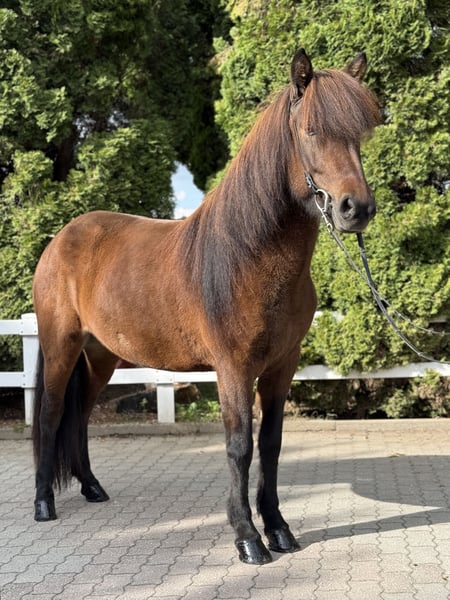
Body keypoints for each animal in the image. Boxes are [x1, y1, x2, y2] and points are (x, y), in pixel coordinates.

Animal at [32, 48, 381, 564]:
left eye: (360, 132)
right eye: (311, 130)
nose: (356, 209)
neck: (249, 256)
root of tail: (61, 239)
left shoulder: (282, 366)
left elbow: (271, 444)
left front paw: (279, 529)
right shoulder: (233, 368)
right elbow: (239, 447)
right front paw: (248, 538)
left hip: (101, 357)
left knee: (80, 416)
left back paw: (92, 488)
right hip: (61, 346)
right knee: (51, 414)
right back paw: (43, 504)